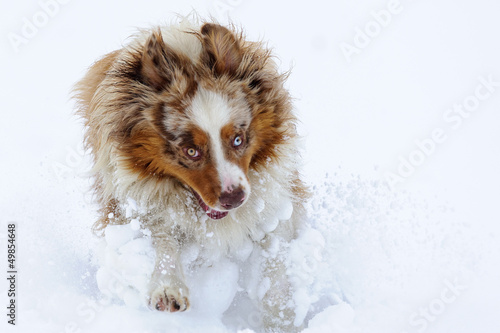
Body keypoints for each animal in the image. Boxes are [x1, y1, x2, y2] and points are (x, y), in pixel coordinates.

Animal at [74, 18, 308, 332]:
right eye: (191, 151)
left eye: (238, 139)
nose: (234, 198)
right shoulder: (136, 204)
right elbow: (163, 241)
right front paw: (167, 288)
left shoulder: (274, 207)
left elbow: (275, 265)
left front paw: (281, 319)